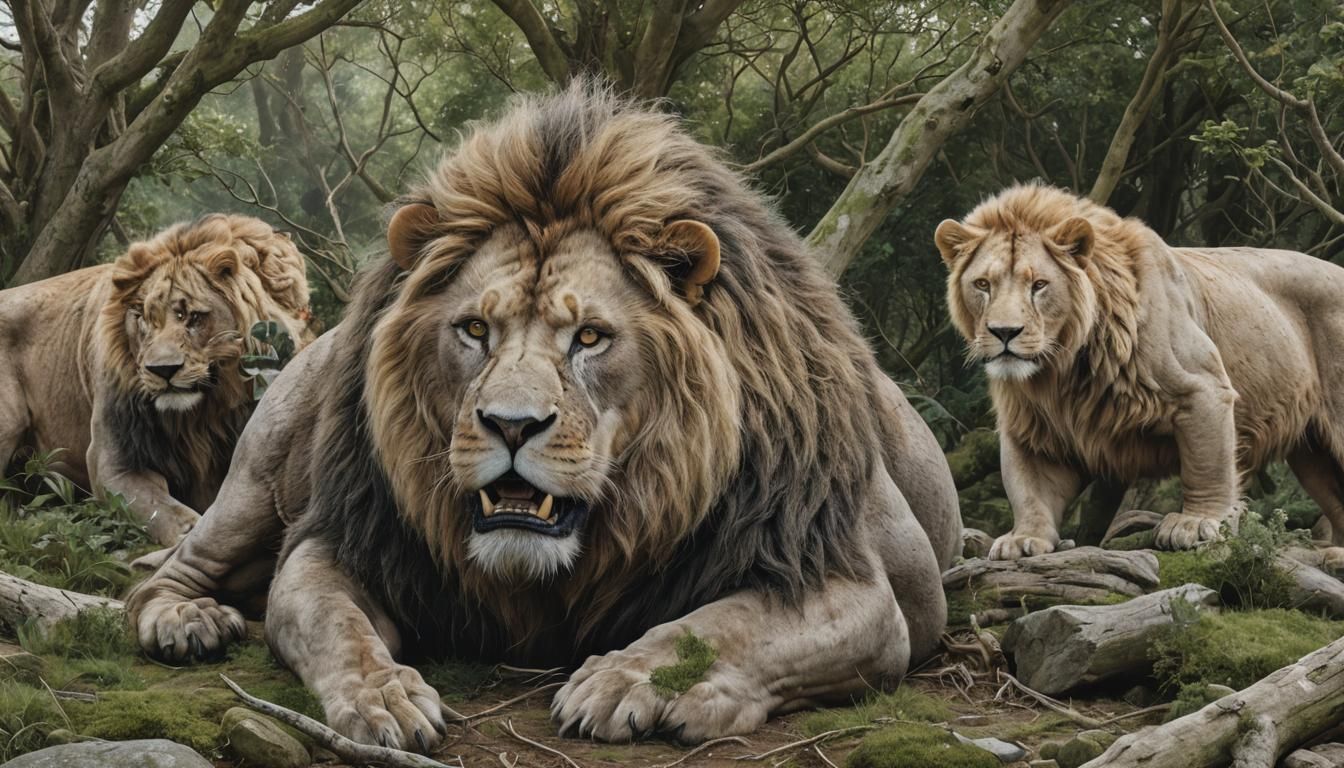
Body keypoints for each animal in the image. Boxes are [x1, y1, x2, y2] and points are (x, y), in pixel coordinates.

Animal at [0, 215, 311, 545]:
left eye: (194, 317)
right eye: (143, 318)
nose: (162, 370)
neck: (202, 416)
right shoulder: (113, 463)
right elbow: (173, 517)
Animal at [127, 83, 961, 751]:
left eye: (588, 337)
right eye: (474, 330)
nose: (511, 425)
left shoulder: (858, 585)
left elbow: (720, 625)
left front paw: (627, 681)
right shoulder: (340, 539)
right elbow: (338, 627)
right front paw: (383, 697)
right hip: (258, 476)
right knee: (169, 571)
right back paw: (186, 621)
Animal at [936, 183, 1344, 559]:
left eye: (1039, 285)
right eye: (982, 284)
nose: (1004, 332)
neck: (1060, 369)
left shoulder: (1203, 387)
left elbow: (1207, 464)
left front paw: (1195, 523)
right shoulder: (1032, 425)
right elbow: (1030, 488)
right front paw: (1023, 539)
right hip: (1313, 453)